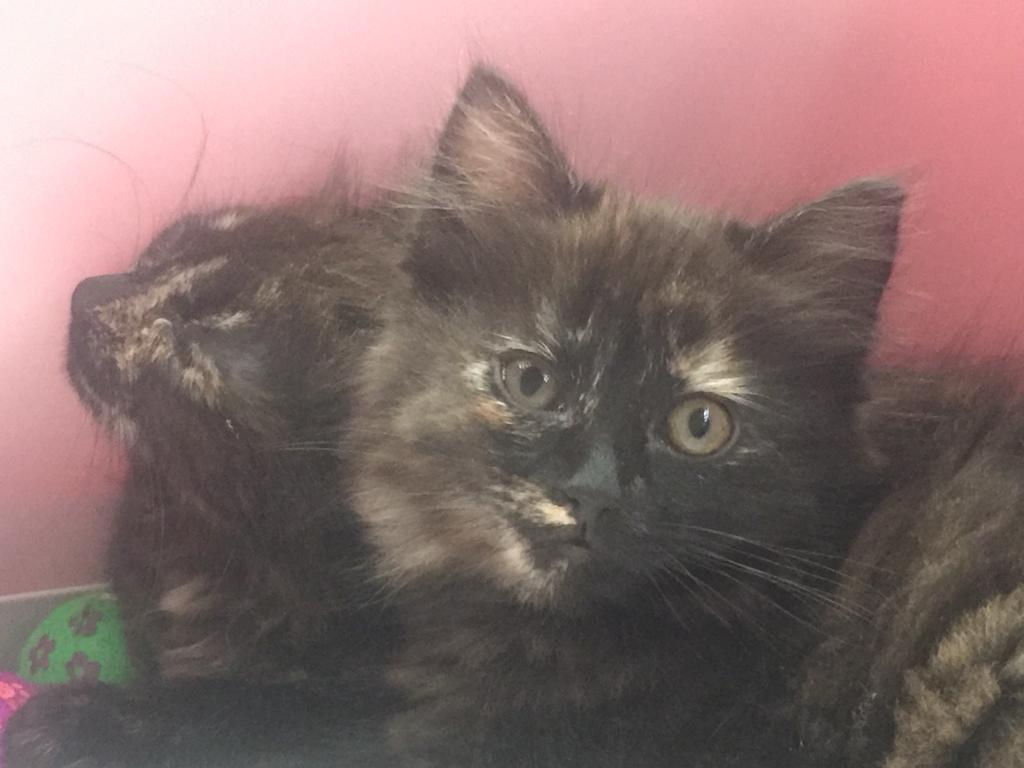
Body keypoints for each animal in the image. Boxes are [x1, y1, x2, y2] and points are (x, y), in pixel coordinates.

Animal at [6, 66, 904, 767]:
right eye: (161, 251)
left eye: (207, 331)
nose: (84, 295)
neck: (226, 527)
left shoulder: (359, 704)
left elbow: (237, 709)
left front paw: (77, 722)